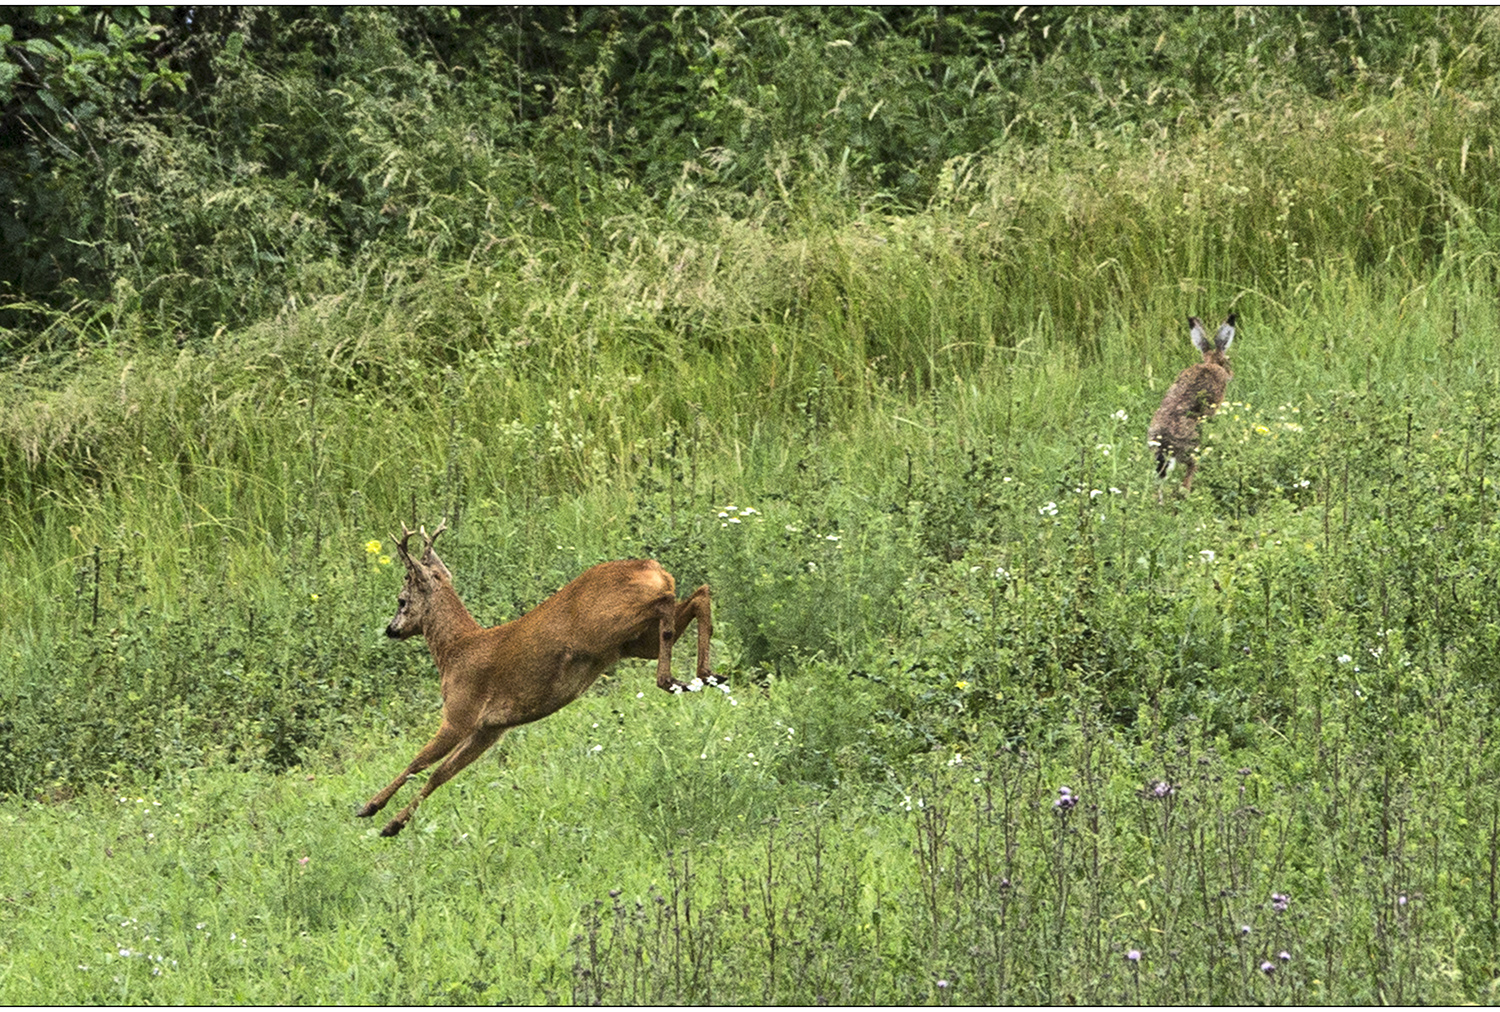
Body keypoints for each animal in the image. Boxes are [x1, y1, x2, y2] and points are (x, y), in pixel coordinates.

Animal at [357, 521, 720, 839]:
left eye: (401, 600)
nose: (391, 630)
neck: (456, 651)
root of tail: (655, 568)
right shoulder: (490, 729)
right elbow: (440, 774)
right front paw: (391, 825)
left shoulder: (461, 712)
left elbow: (417, 763)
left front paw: (370, 808)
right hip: (636, 642)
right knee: (698, 595)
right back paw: (705, 675)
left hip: (608, 625)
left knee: (669, 603)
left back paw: (670, 678)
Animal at [1152, 313, 1236, 494]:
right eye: (1227, 362)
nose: (1231, 374)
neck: (1210, 365)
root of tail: (1165, 444)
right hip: (1191, 448)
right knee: (1190, 470)